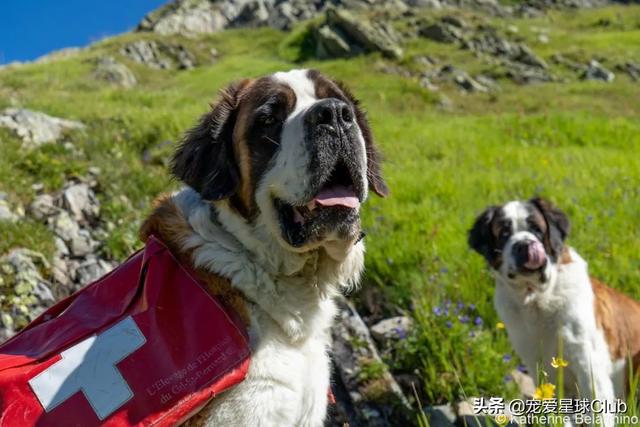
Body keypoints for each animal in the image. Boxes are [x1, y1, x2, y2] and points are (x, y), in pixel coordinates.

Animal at [470, 199, 640, 426]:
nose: (524, 244)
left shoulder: (587, 362)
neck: (538, 299)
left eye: (536, 229)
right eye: (504, 233)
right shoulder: (539, 367)